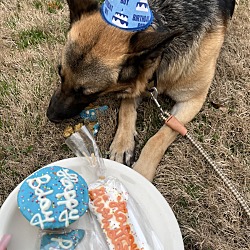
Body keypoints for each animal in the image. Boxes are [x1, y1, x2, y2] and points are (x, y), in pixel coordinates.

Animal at [46, 0, 234, 181]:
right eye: (60, 74)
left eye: (88, 93)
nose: (50, 116)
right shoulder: (136, 86)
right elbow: (126, 109)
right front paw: (122, 144)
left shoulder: (192, 101)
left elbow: (160, 137)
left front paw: (142, 170)